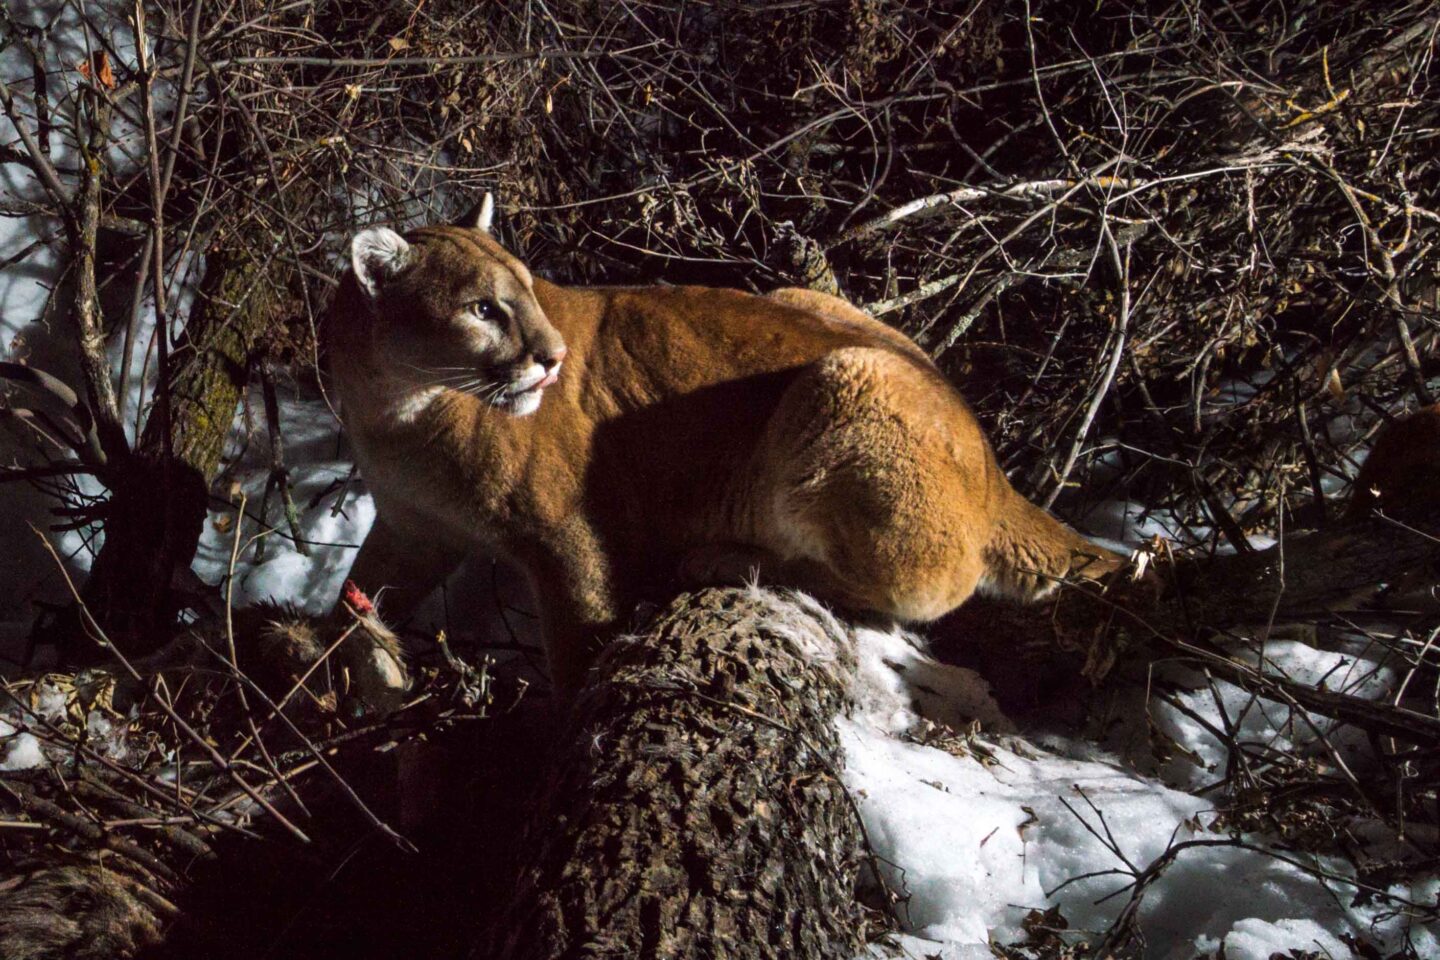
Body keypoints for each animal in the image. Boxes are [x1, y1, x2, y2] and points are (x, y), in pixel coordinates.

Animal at [326, 196, 1124, 696]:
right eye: (482, 309)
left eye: (527, 292)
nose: (552, 359)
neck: (398, 413)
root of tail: (994, 468)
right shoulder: (414, 527)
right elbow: (346, 602)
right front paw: (356, 675)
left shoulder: (569, 542)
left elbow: (579, 652)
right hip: (807, 301)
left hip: (847, 379)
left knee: (907, 596)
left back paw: (720, 556)